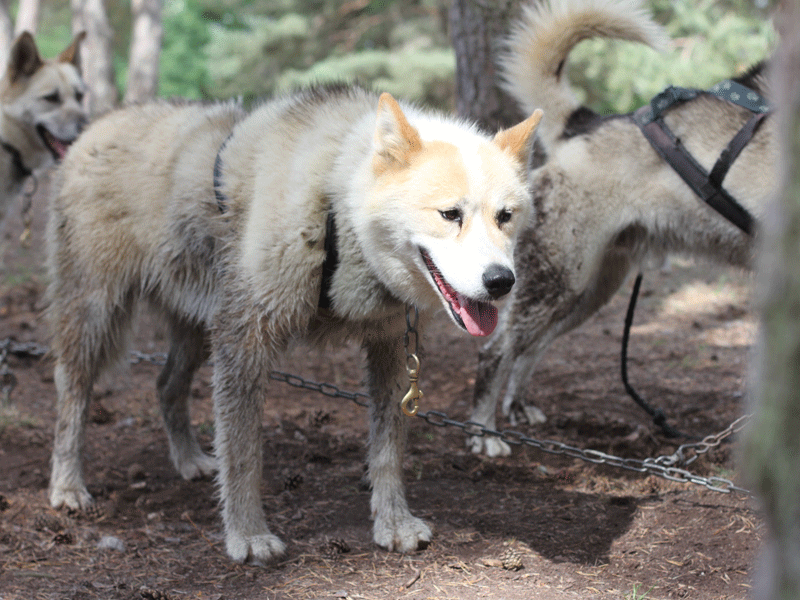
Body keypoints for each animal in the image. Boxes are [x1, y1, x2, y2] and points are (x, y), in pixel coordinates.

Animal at [468, 0, 776, 454]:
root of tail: (584, 125)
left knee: (529, 349)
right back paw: (483, 433)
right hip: (557, 283)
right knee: (495, 351)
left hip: (588, 292)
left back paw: (518, 408)